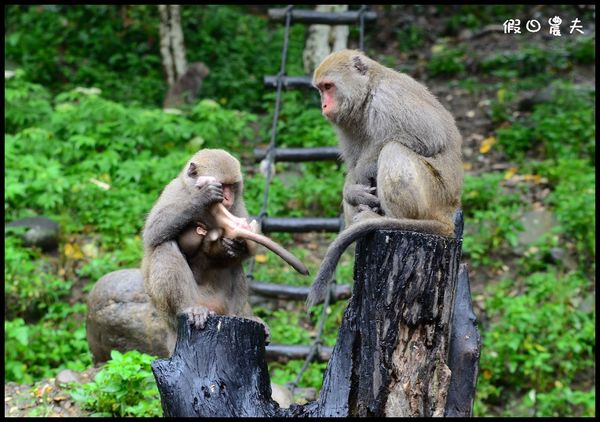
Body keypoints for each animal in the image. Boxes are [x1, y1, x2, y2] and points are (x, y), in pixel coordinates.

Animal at [142, 149, 304, 342]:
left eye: (232, 186)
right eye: (222, 185)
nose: (227, 198)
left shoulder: (237, 205)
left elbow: (247, 249)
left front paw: (232, 244)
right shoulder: (175, 192)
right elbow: (153, 232)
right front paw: (202, 197)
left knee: (234, 263)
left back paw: (240, 314)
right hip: (170, 312)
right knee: (164, 247)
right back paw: (189, 308)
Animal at [304, 49, 464, 306]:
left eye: (328, 86)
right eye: (321, 89)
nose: (324, 105)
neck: (367, 95)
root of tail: (448, 211)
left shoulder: (388, 98)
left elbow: (429, 136)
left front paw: (362, 172)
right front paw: (352, 191)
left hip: (435, 194)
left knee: (393, 148)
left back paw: (391, 219)